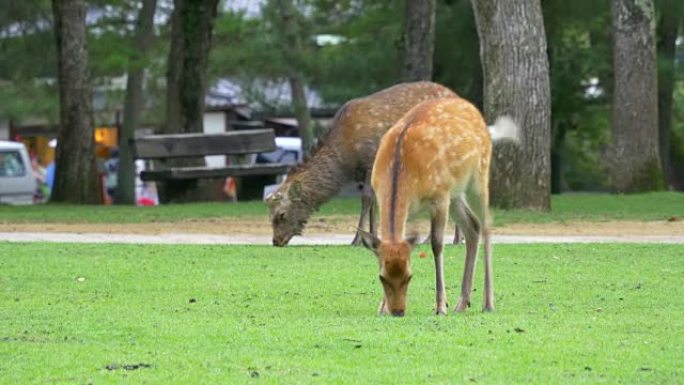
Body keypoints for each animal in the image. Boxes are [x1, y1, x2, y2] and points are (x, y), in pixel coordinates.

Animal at [264, 82, 456, 248]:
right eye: (270, 216)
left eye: (281, 215)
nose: (276, 241)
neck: (346, 161)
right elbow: (373, 202)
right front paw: (372, 236)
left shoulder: (371, 161)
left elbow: (367, 199)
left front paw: (357, 239)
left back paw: (444, 239)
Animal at [356, 96, 520, 316]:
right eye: (382, 277)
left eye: (409, 276)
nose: (398, 311)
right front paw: (382, 308)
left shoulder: (439, 198)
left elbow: (436, 244)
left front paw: (441, 306)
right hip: (455, 193)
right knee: (472, 225)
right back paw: (462, 303)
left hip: (478, 178)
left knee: (487, 224)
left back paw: (488, 303)